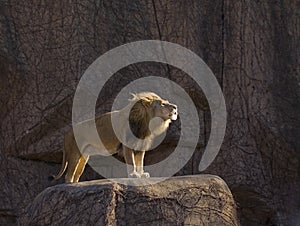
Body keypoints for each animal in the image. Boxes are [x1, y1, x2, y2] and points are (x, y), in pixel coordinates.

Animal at [50, 91, 178, 182]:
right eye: (163, 104)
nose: (176, 107)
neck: (145, 123)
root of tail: (68, 133)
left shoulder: (141, 146)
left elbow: (140, 162)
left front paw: (142, 174)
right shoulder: (127, 145)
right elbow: (131, 161)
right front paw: (133, 175)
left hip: (84, 157)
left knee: (76, 175)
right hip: (74, 153)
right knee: (68, 175)